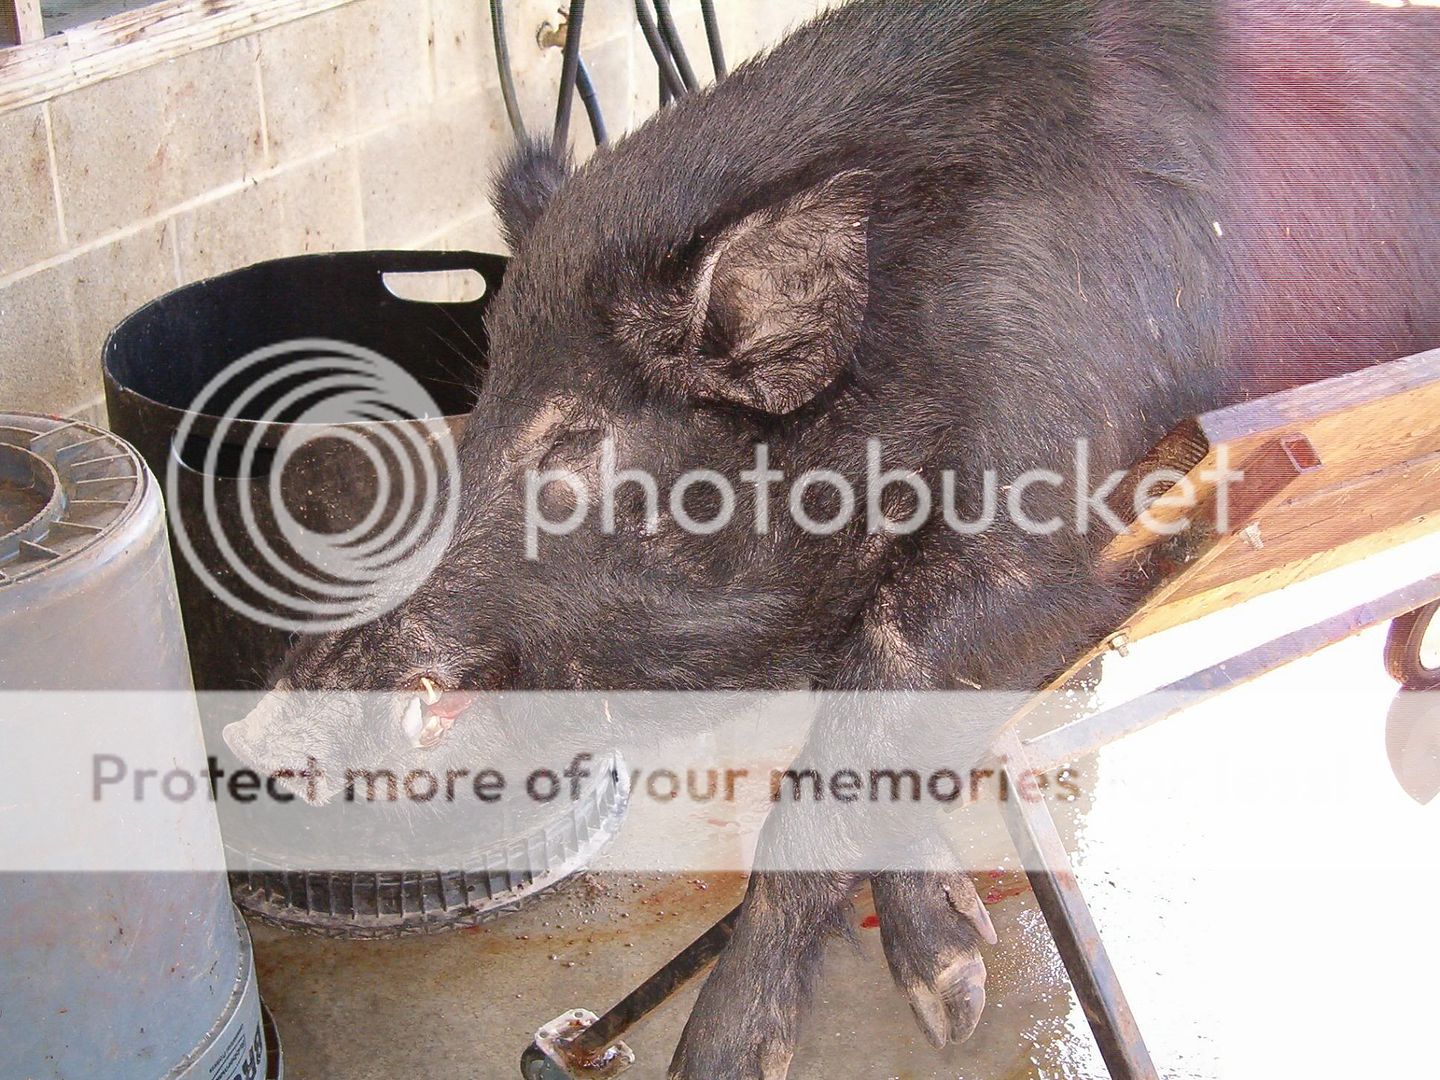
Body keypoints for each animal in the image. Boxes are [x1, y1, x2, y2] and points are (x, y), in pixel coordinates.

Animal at [224, 1, 1440, 1076]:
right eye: (478, 404)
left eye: (570, 442)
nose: (252, 736)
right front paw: (961, 971)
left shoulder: (1053, 531)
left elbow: (842, 759)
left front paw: (759, 1056)